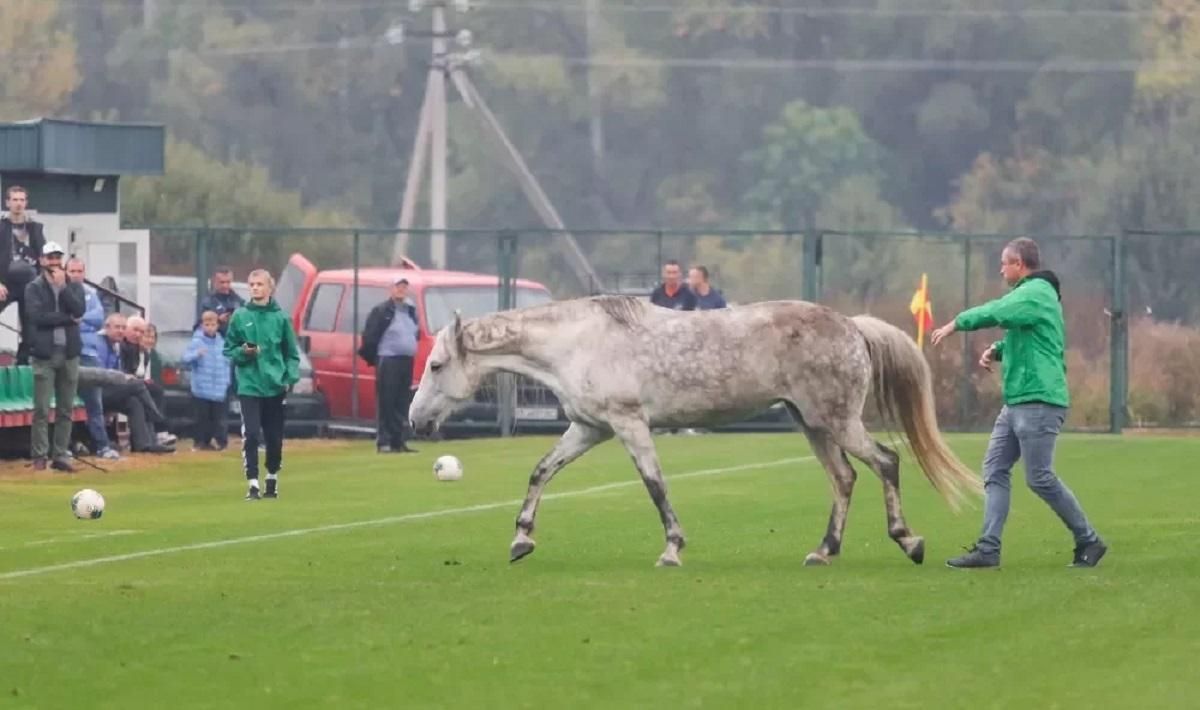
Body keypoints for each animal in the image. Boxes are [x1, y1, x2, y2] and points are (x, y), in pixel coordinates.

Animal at [408, 296, 979, 568]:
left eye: (436, 365)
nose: (415, 420)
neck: (579, 341)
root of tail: (852, 326)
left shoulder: (628, 424)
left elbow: (655, 486)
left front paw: (672, 549)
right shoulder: (589, 429)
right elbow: (541, 471)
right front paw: (521, 539)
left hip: (837, 421)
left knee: (884, 462)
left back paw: (908, 540)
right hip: (813, 424)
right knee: (843, 479)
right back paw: (823, 551)